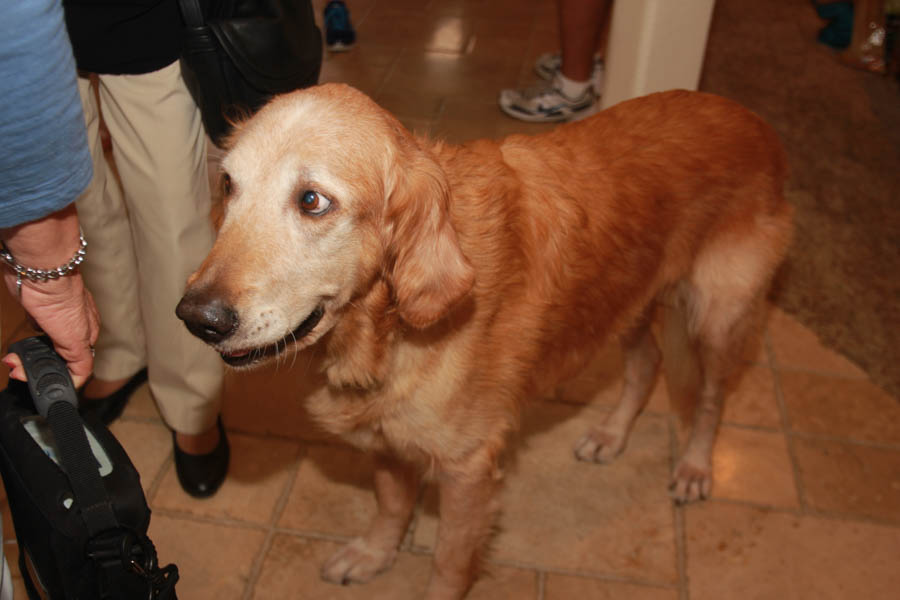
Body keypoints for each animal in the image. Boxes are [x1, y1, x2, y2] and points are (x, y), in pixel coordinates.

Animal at [178, 84, 796, 600]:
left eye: (312, 201)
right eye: (229, 184)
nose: (195, 317)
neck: (391, 328)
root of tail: (752, 118)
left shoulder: (467, 471)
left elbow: (449, 564)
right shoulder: (388, 440)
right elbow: (391, 506)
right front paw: (374, 555)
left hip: (718, 316)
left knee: (710, 400)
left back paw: (694, 467)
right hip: (626, 303)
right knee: (647, 365)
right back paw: (611, 434)